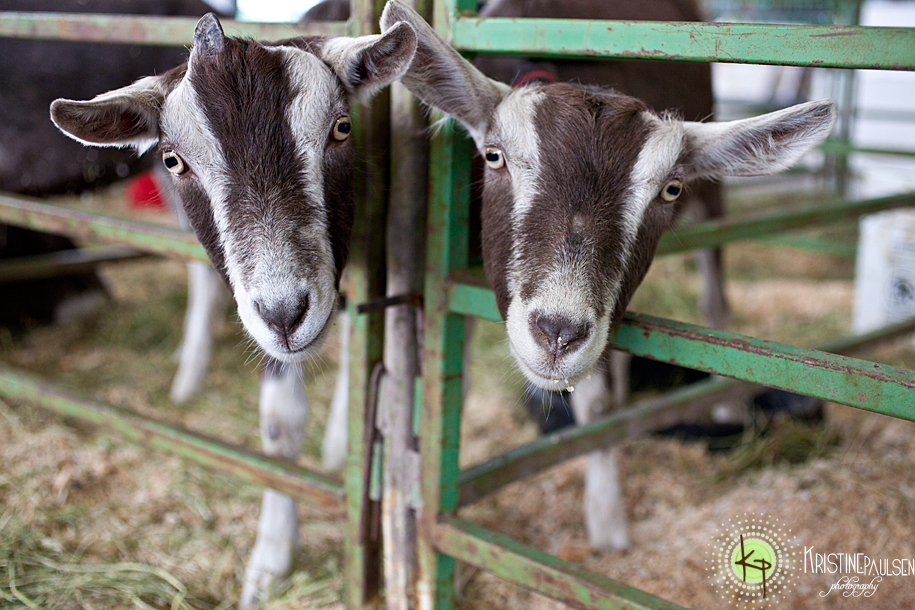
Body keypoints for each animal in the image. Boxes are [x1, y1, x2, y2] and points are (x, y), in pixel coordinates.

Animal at [382, 0, 840, 548]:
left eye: (670, 189)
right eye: (494, 157)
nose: (557, 334)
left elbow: (595, 404)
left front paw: (608, 523)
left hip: (713, 202)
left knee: (715, 297)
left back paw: (725, 407)